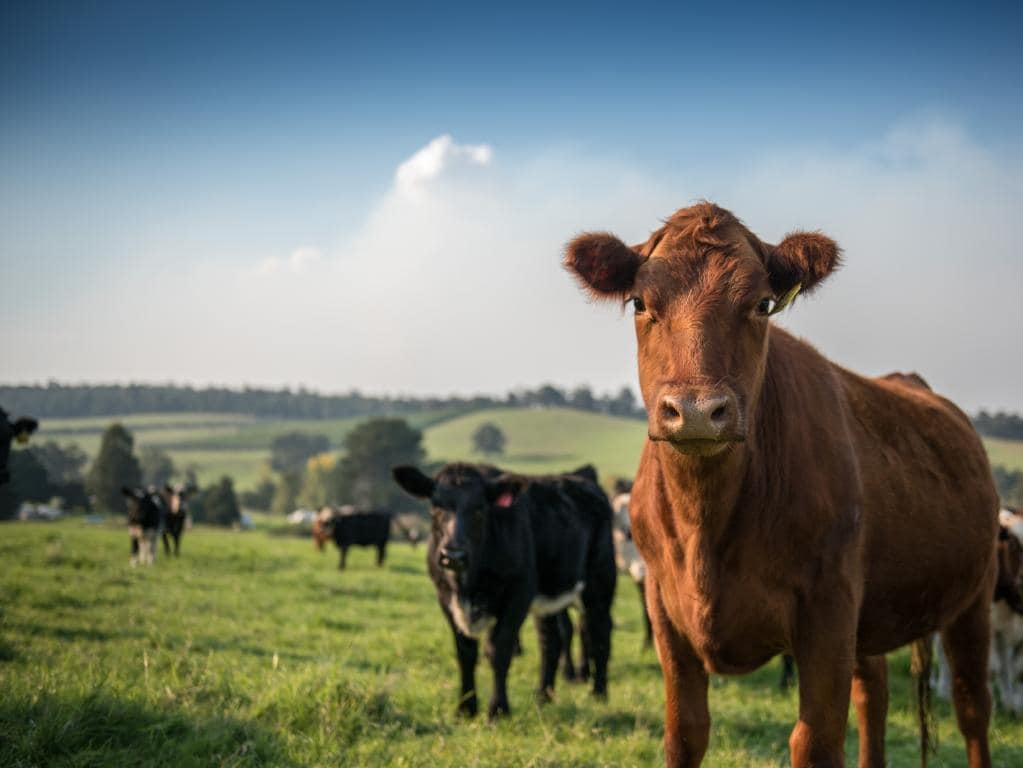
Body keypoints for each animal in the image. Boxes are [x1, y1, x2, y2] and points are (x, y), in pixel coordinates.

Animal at [390, 462, 613, 719]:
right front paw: (466, 707)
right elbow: (465, 653)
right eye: (436, 507)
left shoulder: (518, 594)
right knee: (551, 641)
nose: (453, 555)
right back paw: (543, 696)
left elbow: (499, 650)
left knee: (599, 632)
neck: (469, 585)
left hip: (599, 582)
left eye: (479, 510)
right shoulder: (445, 599)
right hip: (547, 599)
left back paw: (599, 693)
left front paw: (498, 709)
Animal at [564, 204, 994, 768]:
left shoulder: (829, 608)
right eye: (640, 301)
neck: (705, 523)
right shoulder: (664, 609)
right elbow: (684, 733)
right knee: (874, 692)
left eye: (763, 304)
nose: (696, 411)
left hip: (974, 596)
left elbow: (814, 741)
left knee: (972, 707)